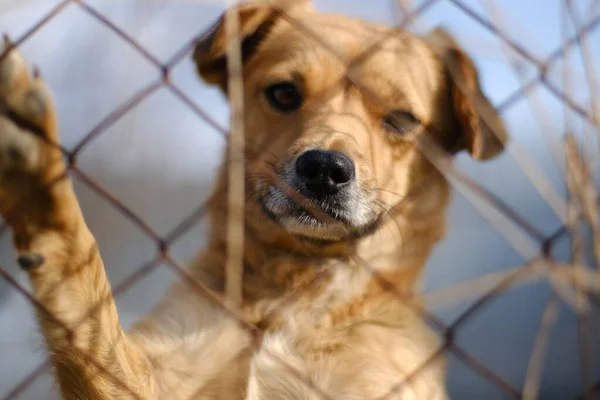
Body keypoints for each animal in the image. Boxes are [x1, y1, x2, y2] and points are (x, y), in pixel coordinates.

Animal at [0, 1, 506, 398]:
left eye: (401, 120)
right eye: (283, 93)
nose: (324, 169)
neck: (288, 302)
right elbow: (85, 301)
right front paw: (36, 177)